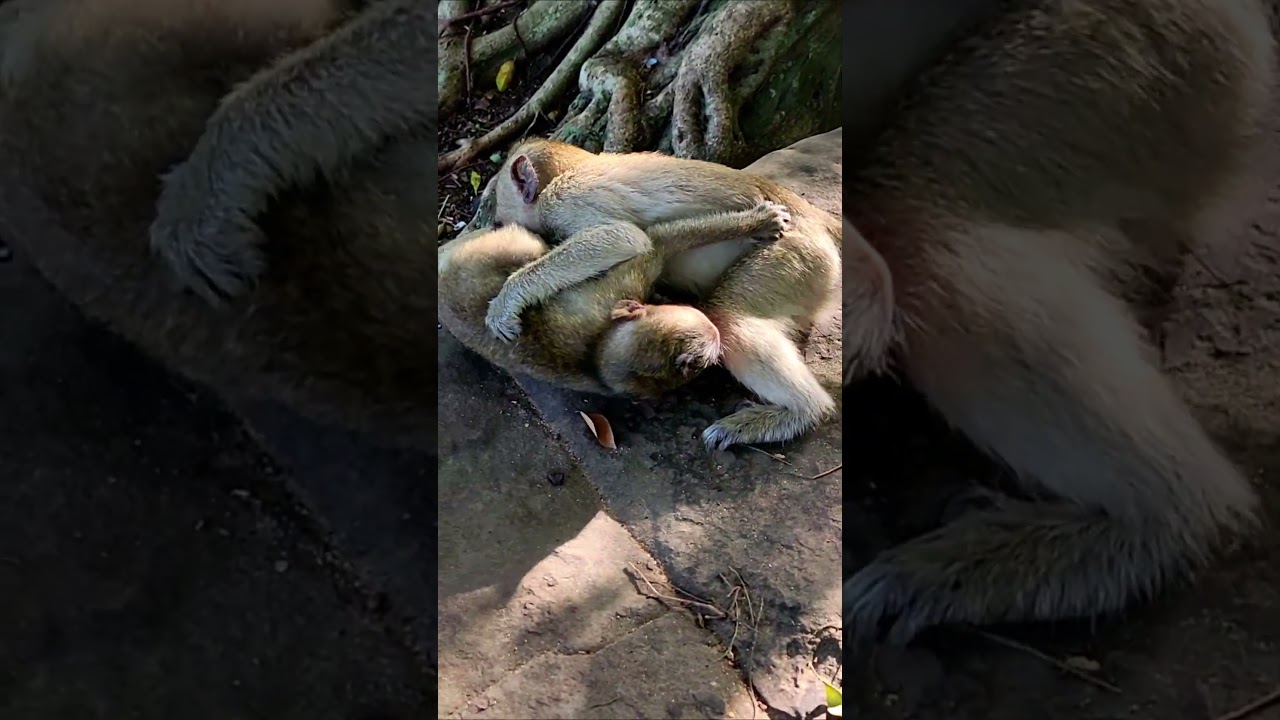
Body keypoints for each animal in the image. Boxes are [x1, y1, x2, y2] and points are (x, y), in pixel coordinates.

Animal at [485, 138, 882, 449]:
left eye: (501, 219)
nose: (496, 224)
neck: (575, 166)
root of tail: (818, 219)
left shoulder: (566, 200)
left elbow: (621, 238)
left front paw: (507, 300)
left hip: (802, 256)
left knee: (729, 316)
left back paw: (801, 413)